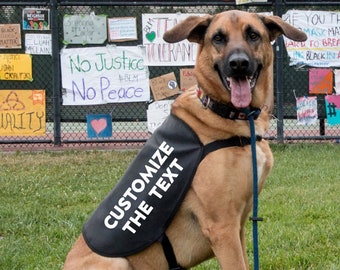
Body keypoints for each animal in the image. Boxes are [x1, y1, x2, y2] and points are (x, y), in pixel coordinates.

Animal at [62, 9, 306, 268]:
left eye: (253, 35)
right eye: (218, 38)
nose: (238, 64)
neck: (228, 114)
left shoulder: (238, 226)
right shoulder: (223, 228)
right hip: (117, 261)